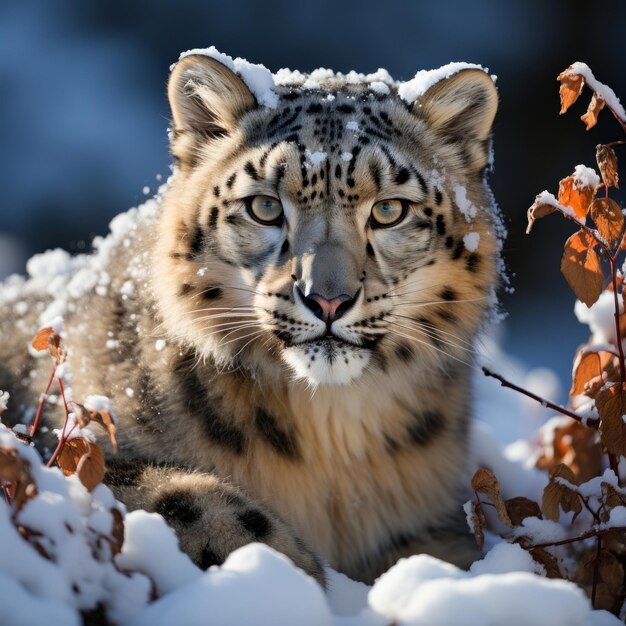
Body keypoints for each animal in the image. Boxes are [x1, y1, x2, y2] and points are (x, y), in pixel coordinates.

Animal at [0, 51, 498, 584]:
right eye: (264, 206)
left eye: (389, 210)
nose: (327, 300)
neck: (331, 438)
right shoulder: (69, 442)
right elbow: (176, 493)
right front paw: (291, 572)